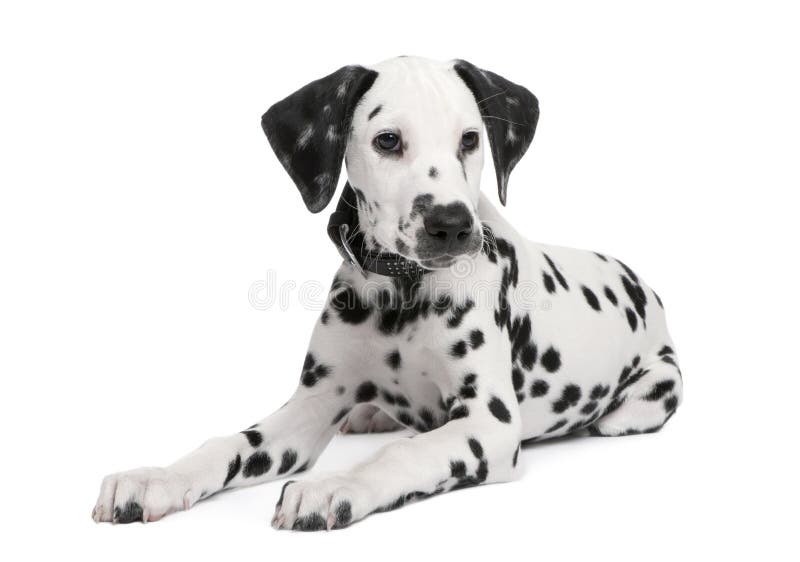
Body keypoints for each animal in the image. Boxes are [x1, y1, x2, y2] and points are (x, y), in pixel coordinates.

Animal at [92, 57, 680, 528]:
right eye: (388, 141)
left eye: (470, 139)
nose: (452, 225)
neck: (403, 293)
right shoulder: (307, 410)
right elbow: (230, 444)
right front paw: (156, 478)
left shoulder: (487, 426)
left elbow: (403, 455)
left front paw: (335, 485)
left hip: (656, 390)